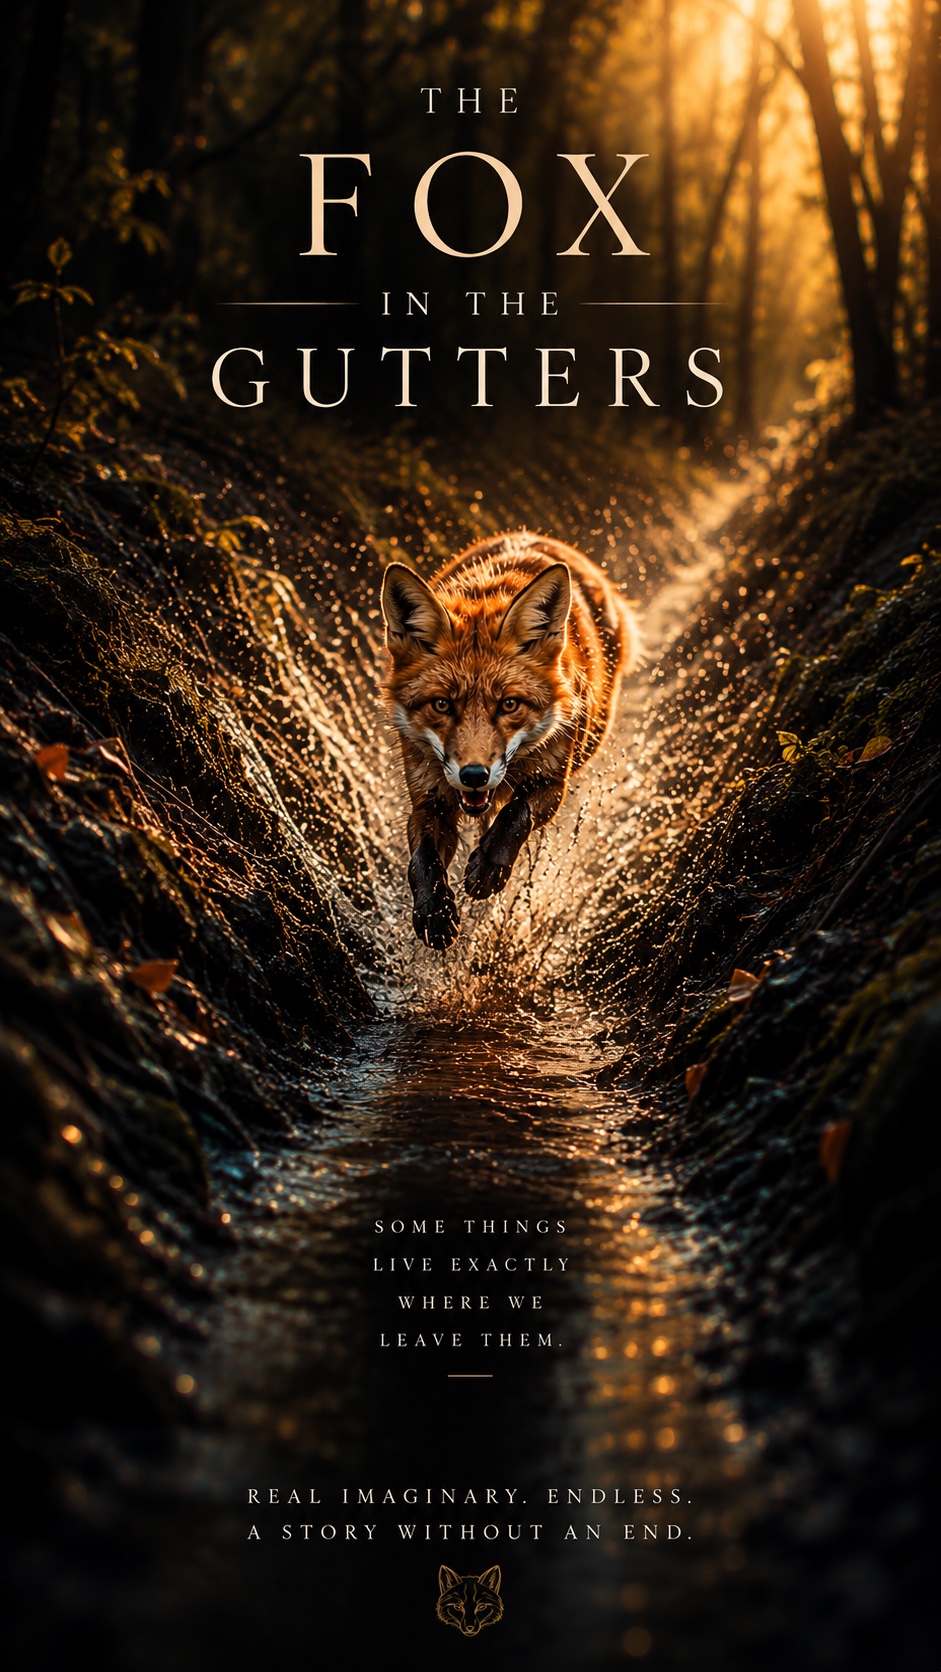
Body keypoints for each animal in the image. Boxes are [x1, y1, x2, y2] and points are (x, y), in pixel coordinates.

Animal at [380, 530, 639, 950]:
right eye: (442, 705)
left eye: (509, 704)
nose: (473, 776)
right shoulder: (429, 798)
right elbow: (421, 861)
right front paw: (434, 912)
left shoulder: (553, 780)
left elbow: (517, 814)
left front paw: (488, 868)